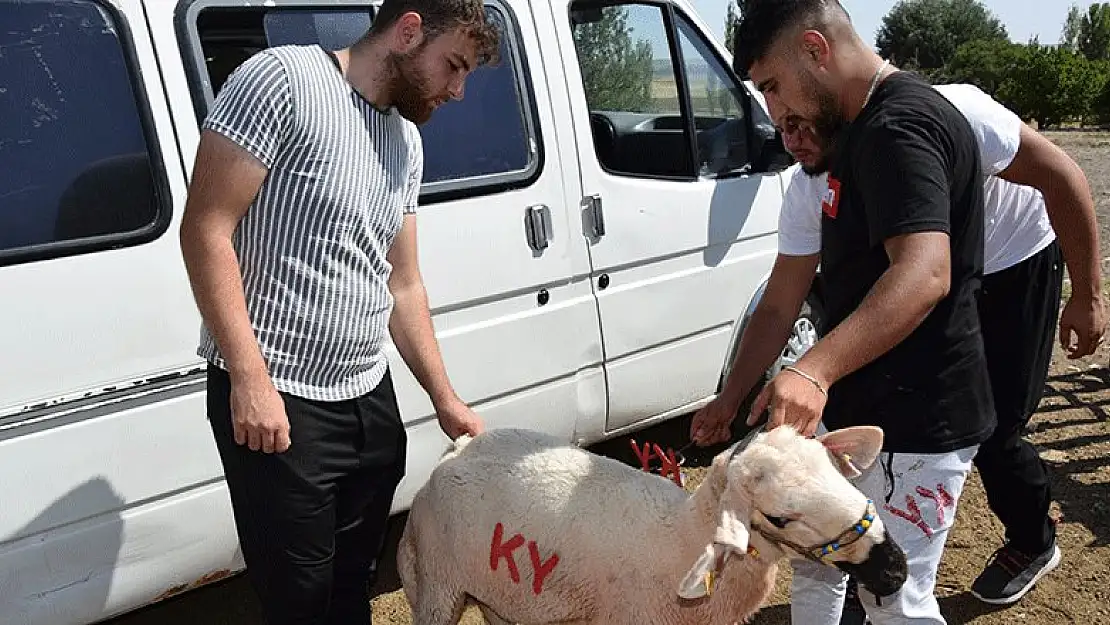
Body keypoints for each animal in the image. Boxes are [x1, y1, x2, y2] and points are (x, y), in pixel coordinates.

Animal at [395, 424, 905, 621]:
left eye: (835, 472)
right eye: (781, 517)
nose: (896, 569)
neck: (683, 536)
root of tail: (458, 448)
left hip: (501, 594)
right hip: (435, 585)